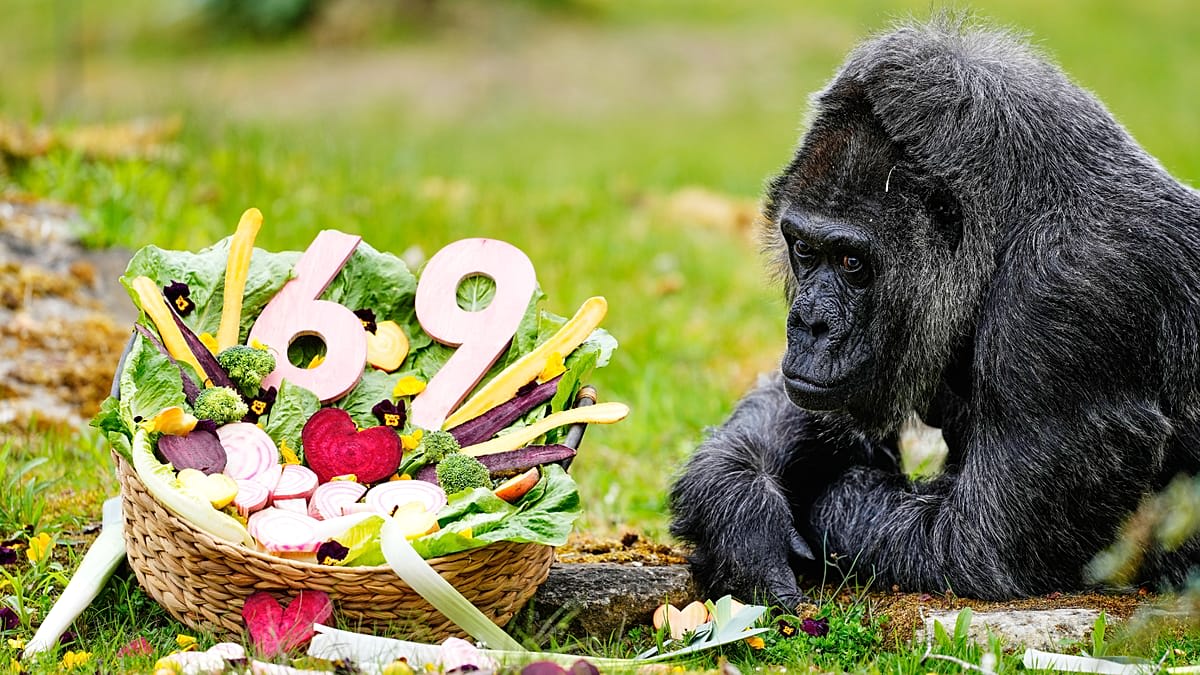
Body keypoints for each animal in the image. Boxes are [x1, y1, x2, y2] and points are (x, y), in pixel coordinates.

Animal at [668, 17, 1200, 608]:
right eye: (804, 249)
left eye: (852, 262)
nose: (809, 324)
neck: (1015, 224)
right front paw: (738, 506)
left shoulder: (1072, 298)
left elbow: (974, 545)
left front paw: (823, 501)